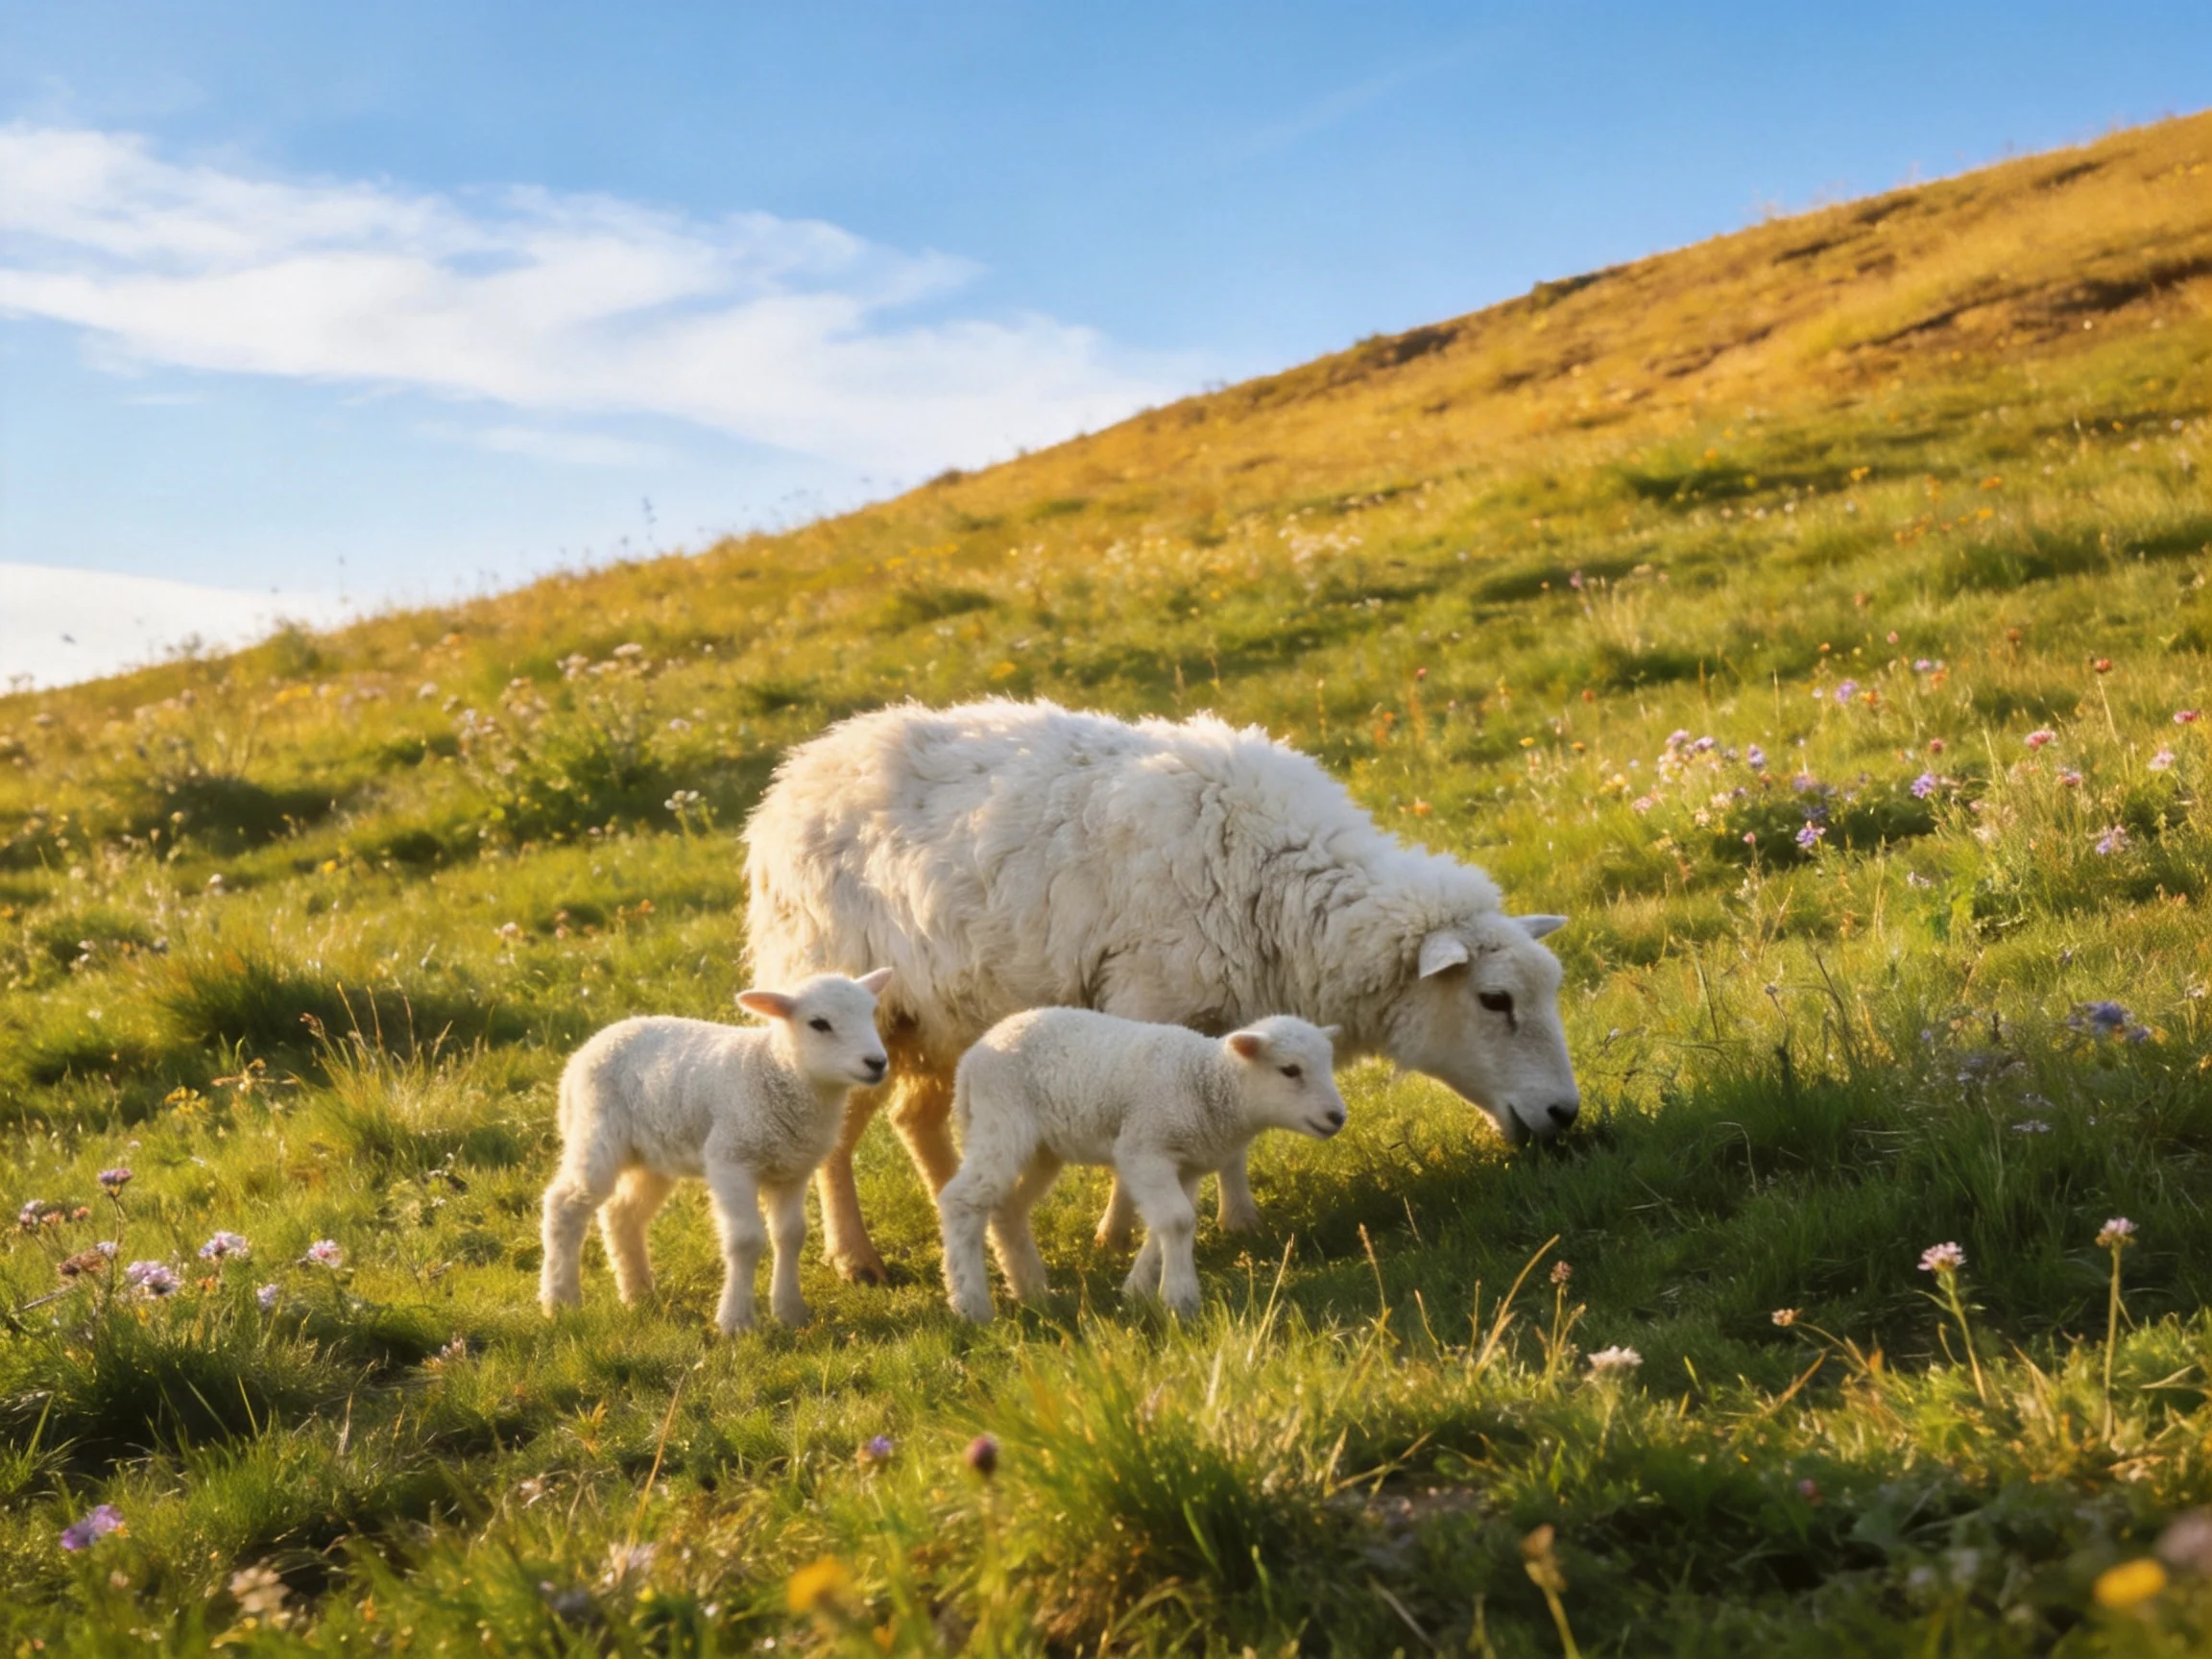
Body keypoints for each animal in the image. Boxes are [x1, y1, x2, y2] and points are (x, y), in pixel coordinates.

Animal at [538, 968, 892, 1333]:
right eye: (819, 1023)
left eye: (871, 1013)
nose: (877, 1063)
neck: (776, 1070)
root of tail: (588, 1047)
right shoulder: (730, 1159)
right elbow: (746, 1240)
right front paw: (735, 1321)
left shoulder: (792, 1170)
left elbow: (791, 1235)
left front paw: (791, 1311)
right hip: (596, 1131)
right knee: (564, 1204)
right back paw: (560, 1300)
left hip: (653, 1155)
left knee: (622, 1213)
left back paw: (639, 1294)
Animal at [744, 698, 1578, 1283]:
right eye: (1494, 1000)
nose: (1565, 1115)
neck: (1278, 878)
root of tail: (799, 769)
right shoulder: (1147, 1001)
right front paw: (1120, 1232)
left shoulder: (1235, 1017)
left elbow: (1236, 1125)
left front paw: (1241, 1220)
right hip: (853, 1006)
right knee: (839, 1136)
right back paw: (857, 1259)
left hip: (942, 1016)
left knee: (916, 1119)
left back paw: (973, 1214)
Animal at [939, 1010, 1345, 1321]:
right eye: (1289, 1070)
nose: (1337, 1117)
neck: (1207, 1083)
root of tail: (970, 1060)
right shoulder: (1143, 1147)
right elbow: (1178, 1220)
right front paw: (1180, 1299)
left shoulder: (1187, 1165)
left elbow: (1168, 1222)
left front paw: (1137, 1290)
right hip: (1001, 1119)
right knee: (961, 1200)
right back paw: (971, 1306)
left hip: (1043, 1148)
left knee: (1007, 1207)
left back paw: (1032, 1290)